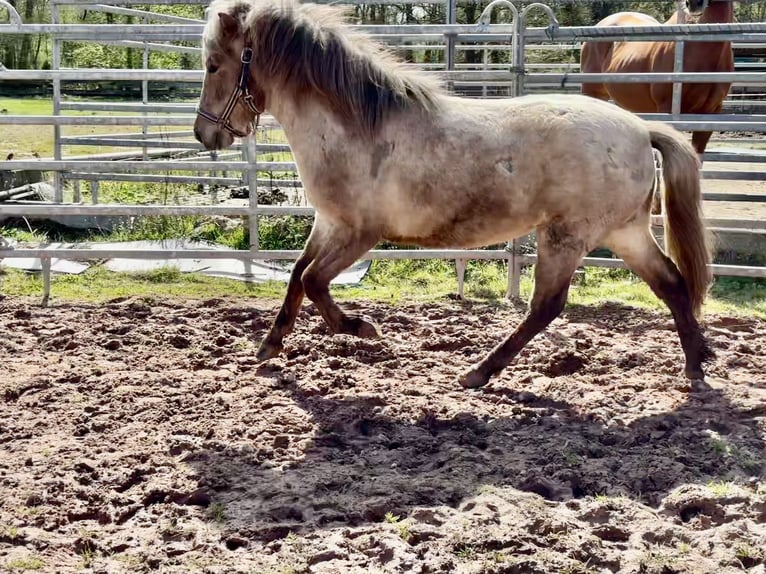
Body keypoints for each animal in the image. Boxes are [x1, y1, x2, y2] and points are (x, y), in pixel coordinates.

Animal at [193, 0, 714, 389]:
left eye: (214, 64)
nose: (204, 134)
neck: (356, 127)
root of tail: (641, 130)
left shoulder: (360, 232)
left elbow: (314, 280)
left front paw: (362, 328)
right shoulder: (328, 222)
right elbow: (297, 274)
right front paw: (269, 344)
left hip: (567, 237)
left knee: (546, 306)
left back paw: (478, 372)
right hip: (625, 232)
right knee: (671, 283)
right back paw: (695, 366)